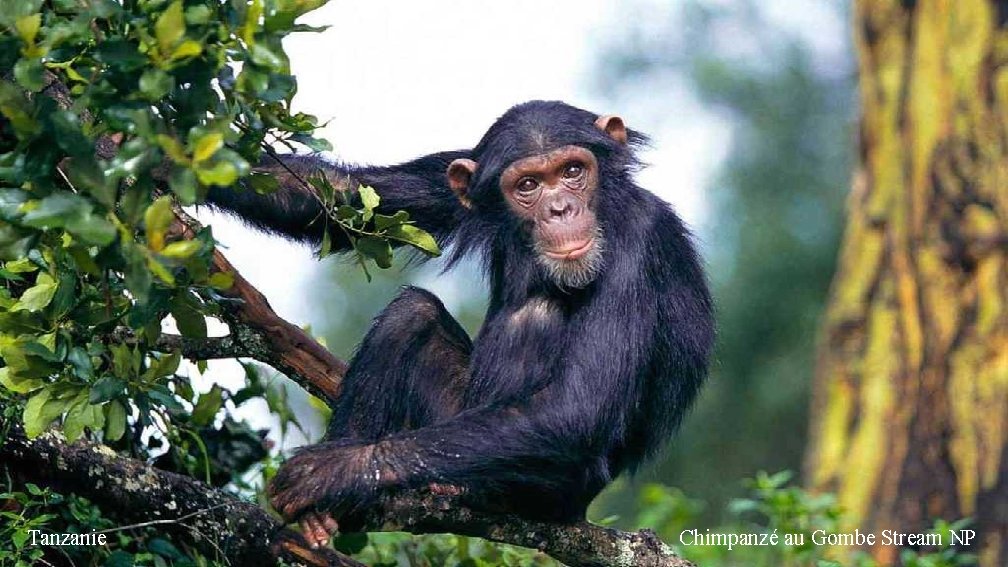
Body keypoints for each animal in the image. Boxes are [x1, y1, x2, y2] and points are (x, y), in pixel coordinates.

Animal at [204, 99, 713, 544]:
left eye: (573, 172)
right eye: (528, 185)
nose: (560, 210)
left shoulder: (638, 238)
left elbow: (578, 406)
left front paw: (332, 473)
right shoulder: (456, 177)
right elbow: (343, 200)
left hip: (555, 489)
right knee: (411, 314)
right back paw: (325, 516)